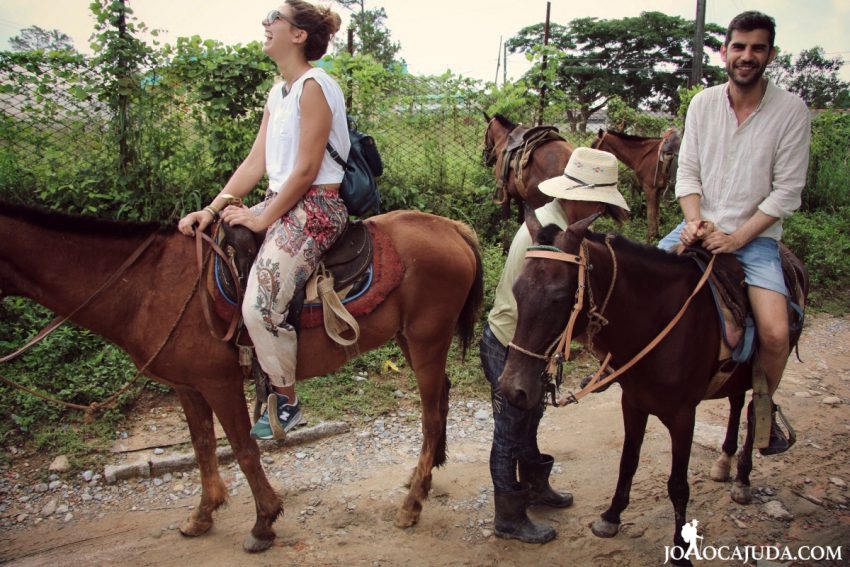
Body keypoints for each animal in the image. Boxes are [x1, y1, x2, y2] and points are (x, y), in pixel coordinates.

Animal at [0, 203, 480, 556]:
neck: (150, 284)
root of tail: (453, 228)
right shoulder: (188, 386)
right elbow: (203, 447)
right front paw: (203, 514)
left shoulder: (220, 383)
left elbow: (245, 450)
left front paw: (264, 522)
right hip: (411, 341)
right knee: (442, 399)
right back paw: (424, 477)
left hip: (427, 340)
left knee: (431, 416)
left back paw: (412, 504)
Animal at [500, 211, 804, 564]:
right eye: (517, 290)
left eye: (560, 296)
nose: (512, 389)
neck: (657, 321)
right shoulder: (633, 403)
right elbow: (627, 462)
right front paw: (611, 517)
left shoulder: (684, 416)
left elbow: (678, 485)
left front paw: (681, 549)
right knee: (737, 403)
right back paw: (724, 463)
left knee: (757, 412)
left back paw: (742, 478)